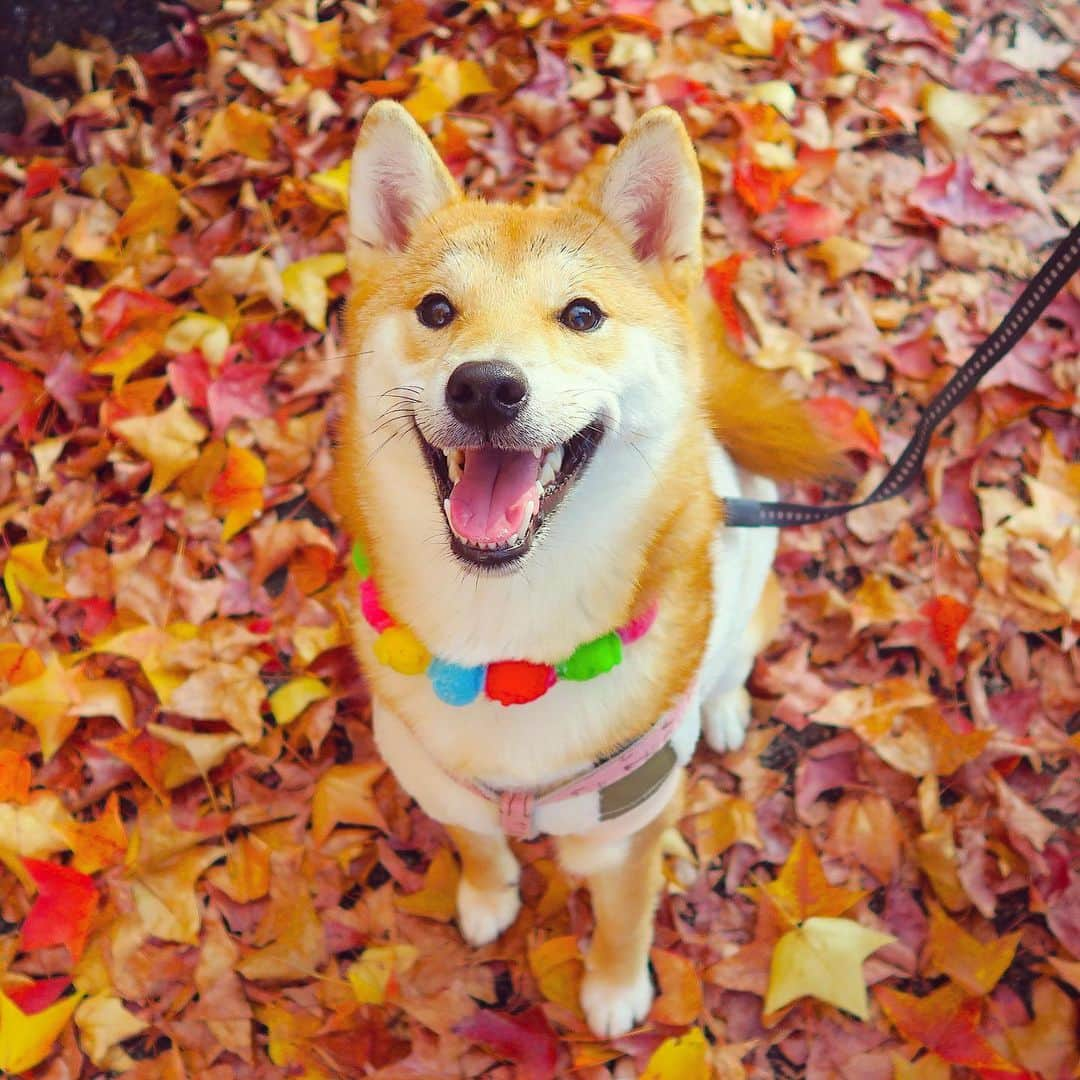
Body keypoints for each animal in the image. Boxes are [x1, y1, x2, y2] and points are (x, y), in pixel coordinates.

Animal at [332, 101, 838, 1036]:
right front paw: (488, 895)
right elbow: (477, 844)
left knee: (734, 660)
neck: (504, 641)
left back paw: (723, 709)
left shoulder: (628, 825)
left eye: (580, 315)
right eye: (435, 308)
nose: (485, 386)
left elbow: (626, 915)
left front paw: (612, 990)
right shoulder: (442, 784)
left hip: (753, 598)